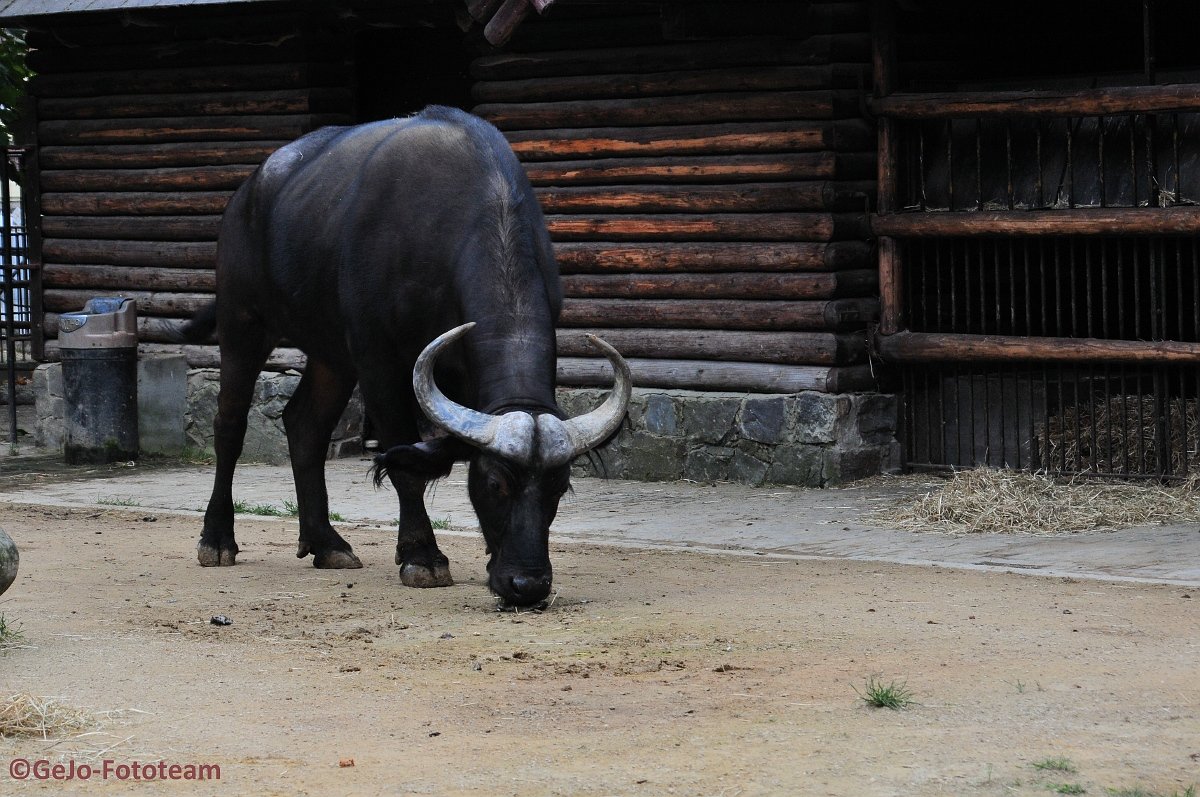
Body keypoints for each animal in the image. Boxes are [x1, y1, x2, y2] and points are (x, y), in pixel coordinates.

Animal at [182, 104, 633, 604]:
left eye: (560, 486)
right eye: (495, 482)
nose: (528, 584)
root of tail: (246, 194)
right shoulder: (378, 361)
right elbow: (405, 461)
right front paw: (421, 555)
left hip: (331, 356)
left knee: (305, 427)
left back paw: (327, 543)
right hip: (242, 323)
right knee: (230, 424)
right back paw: (217, 539)